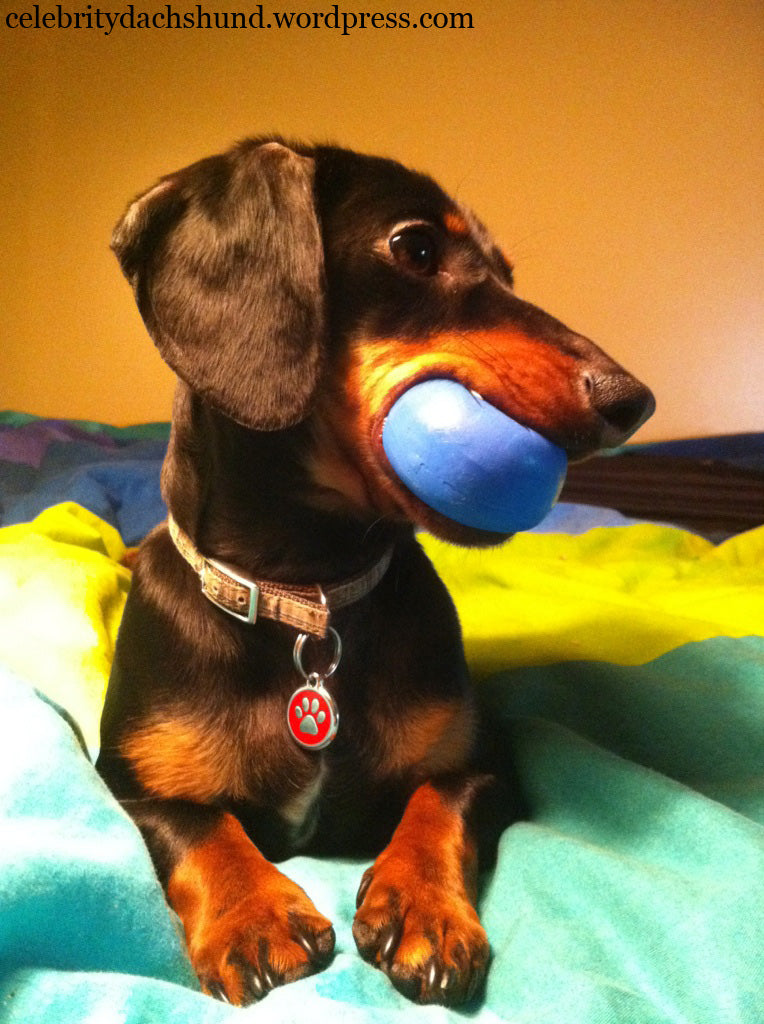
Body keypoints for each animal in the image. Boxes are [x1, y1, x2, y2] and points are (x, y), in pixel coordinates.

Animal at [96, 138, 655, 1007]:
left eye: (507, 274)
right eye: (415, 248)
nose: (634, 399)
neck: (308, 597)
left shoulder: (486, 762)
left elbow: (437, 805)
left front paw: (423, 906)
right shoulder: (126, 781)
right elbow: (199, 824)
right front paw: (254, 913)